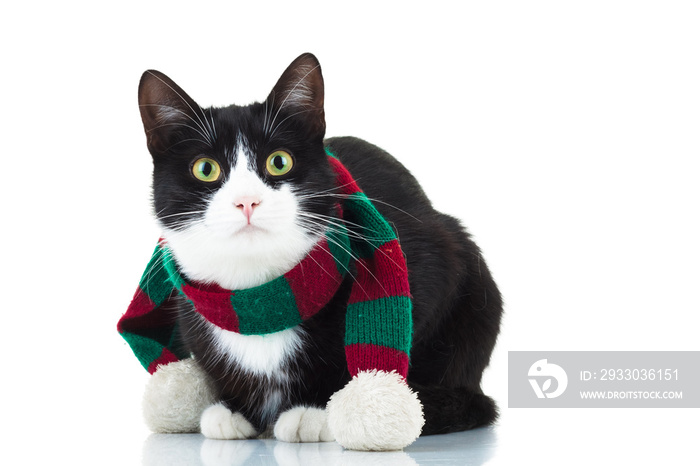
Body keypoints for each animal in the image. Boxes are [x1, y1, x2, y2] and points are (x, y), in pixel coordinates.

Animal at [130, 52, 504, 450]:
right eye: (205, 168)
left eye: (279, 161)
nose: (247, 201)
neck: (258, 300)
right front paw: (234, 410)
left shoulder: (435, 262)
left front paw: (315, 410)